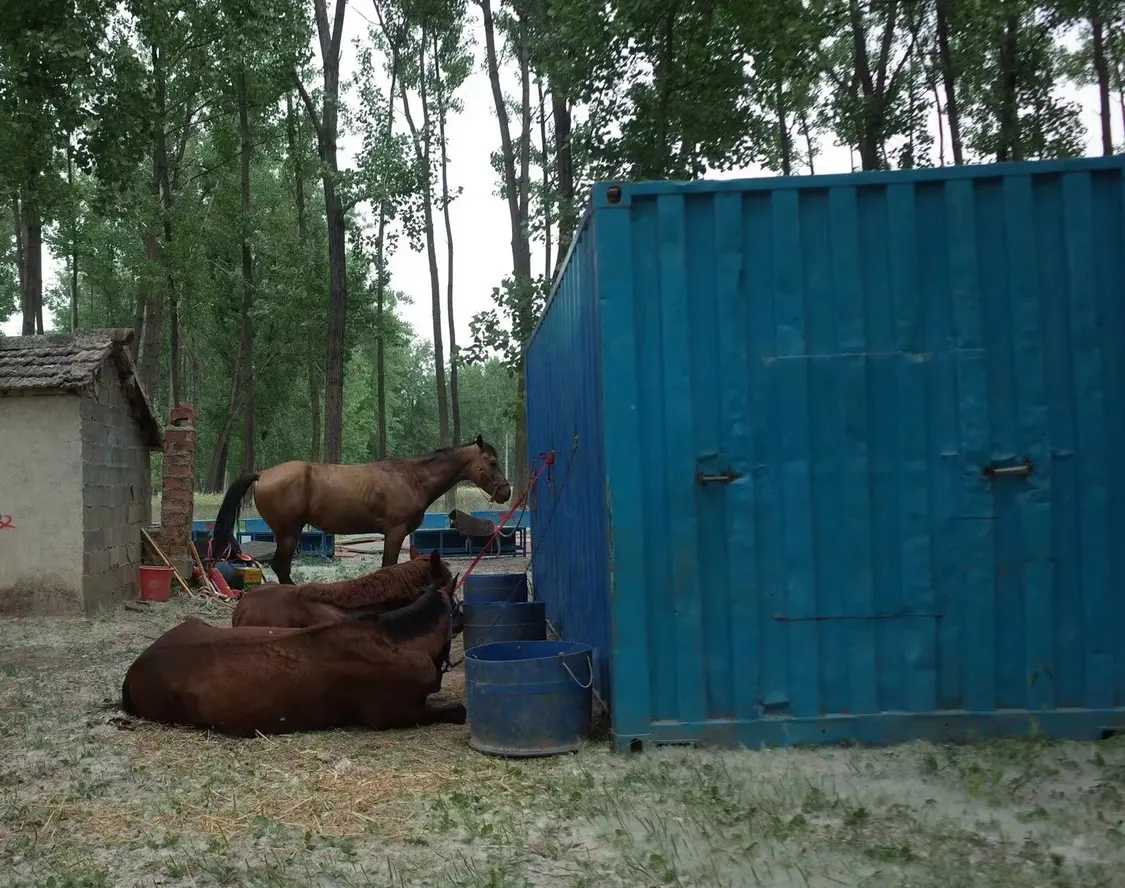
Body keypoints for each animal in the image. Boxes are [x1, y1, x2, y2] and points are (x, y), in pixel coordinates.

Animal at [209, 434, 513, 580]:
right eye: (492, 462)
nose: (506, 491)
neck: (411, 478)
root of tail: (262, 474)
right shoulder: (395, 532)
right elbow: (388, 566)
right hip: (289, 533)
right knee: (281, 568)